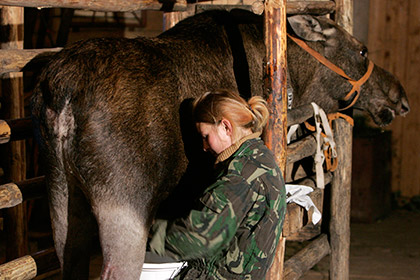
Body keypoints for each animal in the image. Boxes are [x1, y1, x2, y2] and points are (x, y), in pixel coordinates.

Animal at [30, 9, 410, 278]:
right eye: (362, 50)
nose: (401, 98)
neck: (298, 86)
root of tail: (62, 96)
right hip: (124, 205)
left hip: (62, 196)